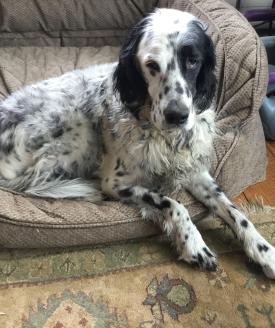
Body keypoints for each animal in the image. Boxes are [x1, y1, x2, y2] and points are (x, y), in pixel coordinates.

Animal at [0, 9, 275, 278]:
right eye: (152, 65)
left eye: (193, 61)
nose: (177, 115)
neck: (164, 136)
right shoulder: (115, 184)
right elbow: (173, 203)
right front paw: (193, 243)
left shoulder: (194, 171)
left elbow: (235, 211)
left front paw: (264, 251)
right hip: (77, 135)